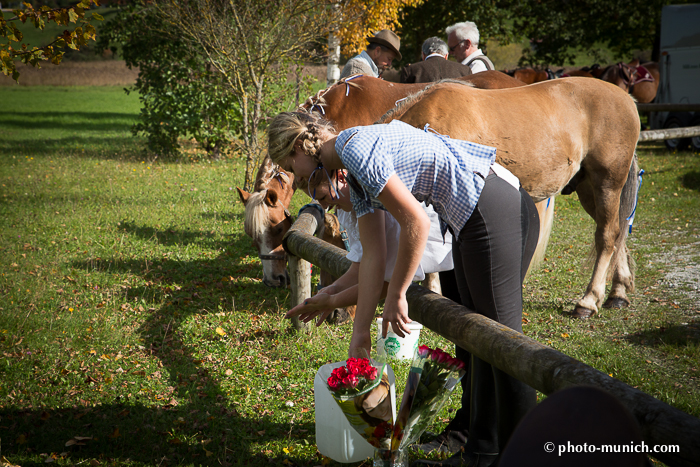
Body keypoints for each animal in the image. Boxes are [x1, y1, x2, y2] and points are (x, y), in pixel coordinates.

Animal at [378, 78, 640, 320]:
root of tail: (627, 98)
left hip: (607, 184)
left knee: (606, 236)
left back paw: (588, 300)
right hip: (588, 189)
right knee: (617, 233)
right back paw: (618, 292)